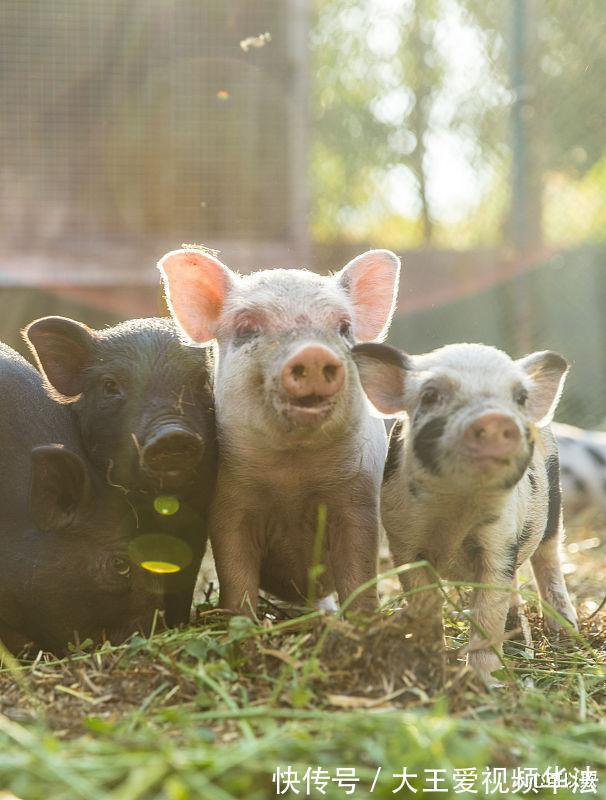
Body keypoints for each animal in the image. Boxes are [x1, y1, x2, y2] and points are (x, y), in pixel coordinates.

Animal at [159, 248, 402, 612]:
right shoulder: (229, 506)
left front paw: (364, 617)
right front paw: (239, 618)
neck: (292, 473)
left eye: (344, 328)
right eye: (246, 327)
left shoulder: (358, 499)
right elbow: (235, 570)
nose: (313, 353)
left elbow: (359, 570)